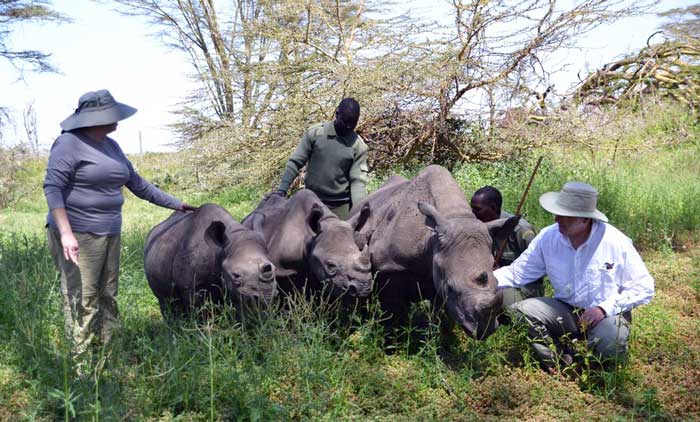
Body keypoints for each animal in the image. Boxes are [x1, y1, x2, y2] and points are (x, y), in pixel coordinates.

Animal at [144, 203, 276, 318]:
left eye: (274, 268)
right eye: (235, 275)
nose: (266, 295)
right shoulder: (192, 288)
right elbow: (201, 314)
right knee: (166, 302)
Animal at [348, 165, 520, 340]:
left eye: (497, 283)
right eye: (451, 288)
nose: (485, 331)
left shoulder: (438, 272)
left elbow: (437, 316)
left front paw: (436, 339)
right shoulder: (389, 268)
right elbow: (392, 312)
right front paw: (391, 339)